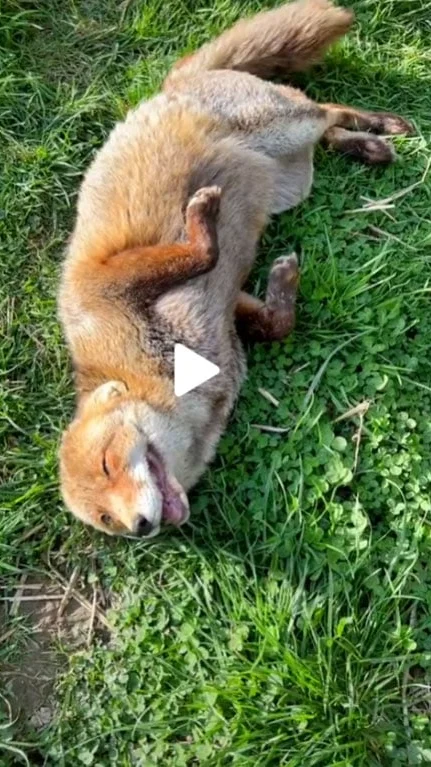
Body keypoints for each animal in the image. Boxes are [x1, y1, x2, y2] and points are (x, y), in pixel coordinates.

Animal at [58, 0, 413, 538]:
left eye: (106, 463)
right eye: (106, 520)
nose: (140, 528)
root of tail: (171, 83)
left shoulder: (108, 283)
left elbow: (200, 253)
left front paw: (202, 218)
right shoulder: (228, 315)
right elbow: (275, 325)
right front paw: (284, 283)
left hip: (285, 123)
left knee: (326, 107)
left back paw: (383, 125)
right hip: (296, 177)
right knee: (329, 125)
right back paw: (364, 145)